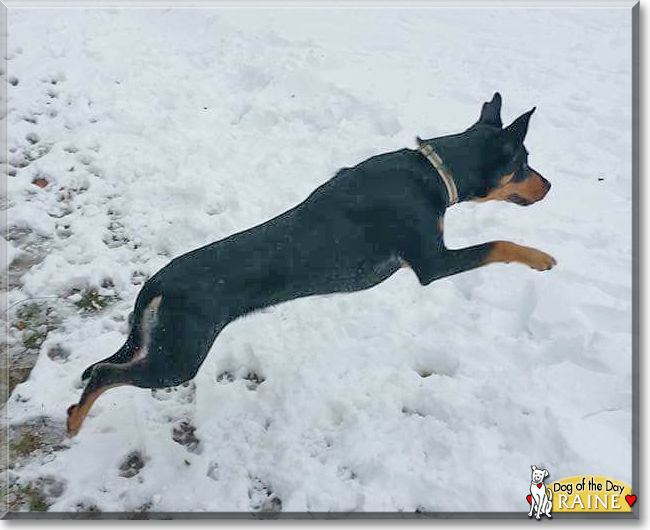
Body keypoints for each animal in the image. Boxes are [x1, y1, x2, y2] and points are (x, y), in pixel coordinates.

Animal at [64, 94, 552, 434]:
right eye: (524, 163)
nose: (549, 186)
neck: (435, 173)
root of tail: (158, 285)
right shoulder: (432, 262)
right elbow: (499, 244)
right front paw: (543, 258)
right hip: (178, 358)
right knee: (103, 374)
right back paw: (73, 420)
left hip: (160, 343)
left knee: (105, 367)